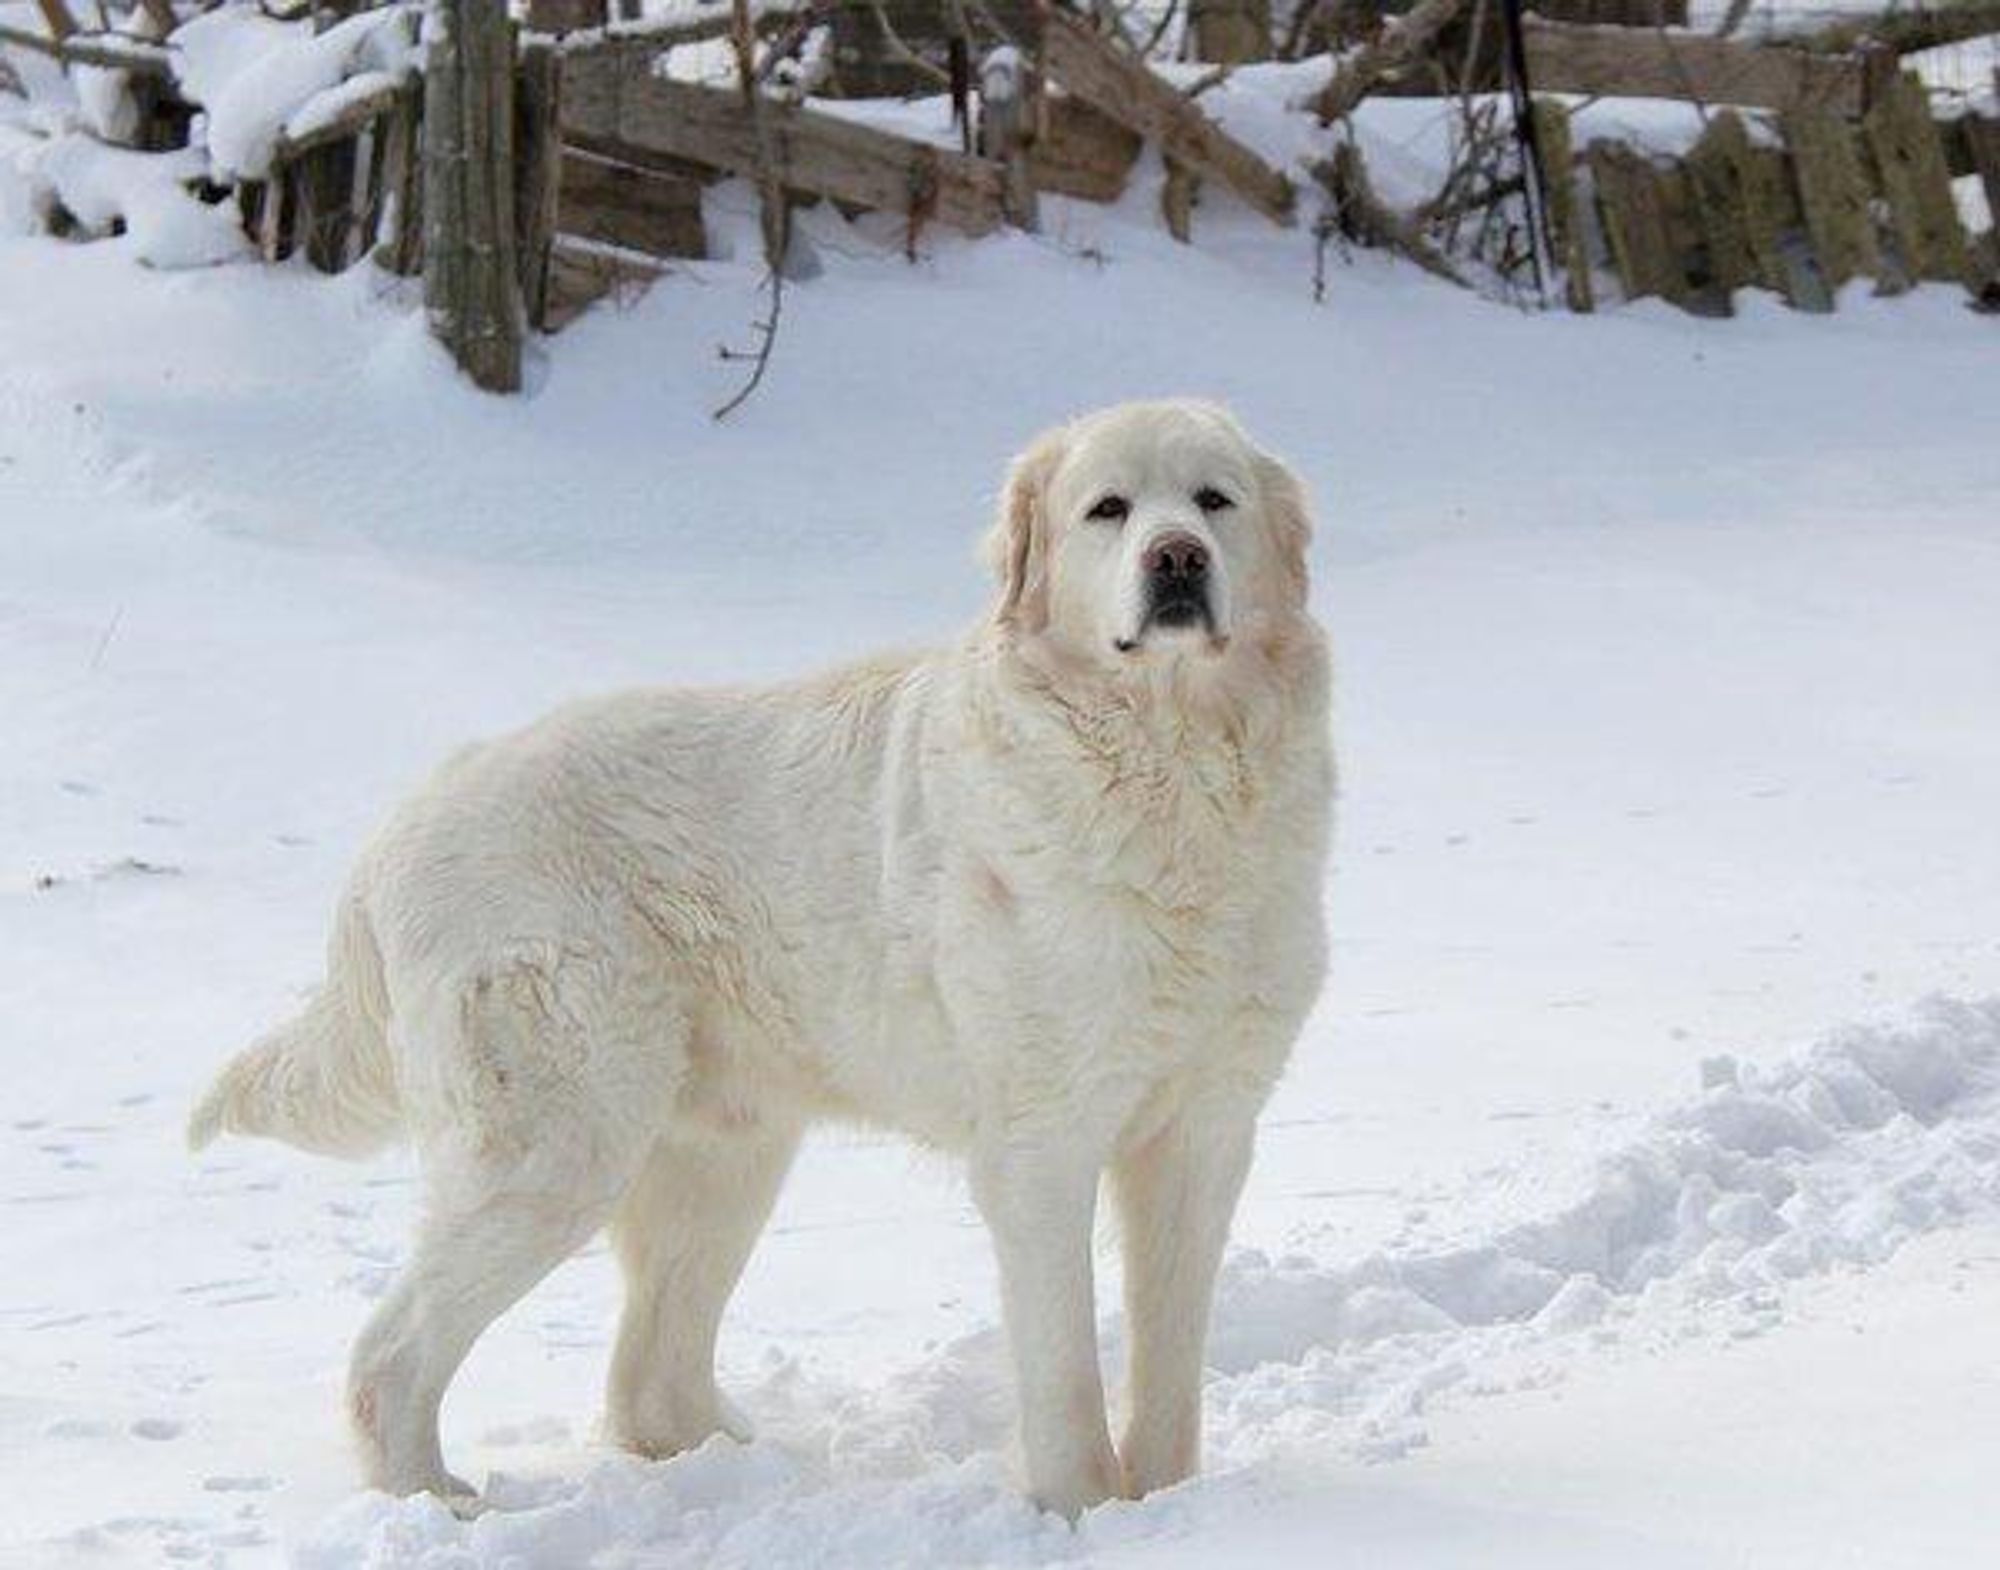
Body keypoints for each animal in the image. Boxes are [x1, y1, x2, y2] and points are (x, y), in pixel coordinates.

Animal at [188, 398, 1328, 1512]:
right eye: (1108, 510)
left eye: (1212, 500)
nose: (1176, 560)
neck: (1171, 766)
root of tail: (406, 818)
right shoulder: (1041, 1141)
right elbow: (1065, 1373)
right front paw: (1087, 1514)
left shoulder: (1207, 1131)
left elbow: (1169, 1361)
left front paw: (1174, 1506)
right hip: (557, 1147)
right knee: (392, 1358)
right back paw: (435, 1503)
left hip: (721, 1154)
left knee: (648, 1381)